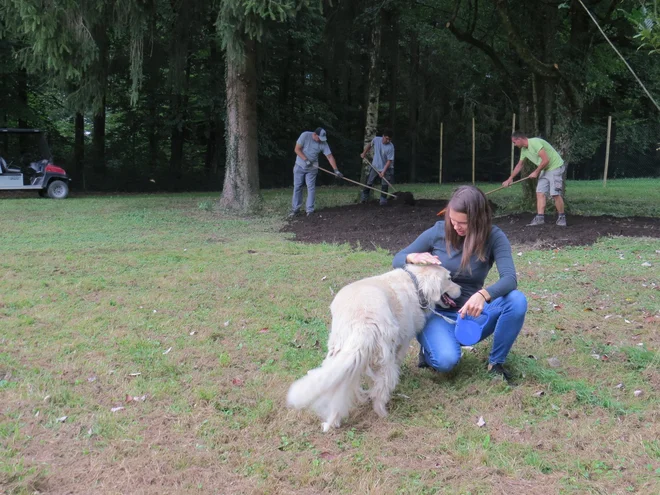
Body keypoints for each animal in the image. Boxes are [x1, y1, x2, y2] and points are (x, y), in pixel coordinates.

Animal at [286, 266, 462, 432]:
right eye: (449, 278)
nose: (461, 290)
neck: (416, 284)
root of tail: (363, 322)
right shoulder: (403, 343)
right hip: (385, 359)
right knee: (380, 390)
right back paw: (382, 413)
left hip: (338, 353)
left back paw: (332, 422)